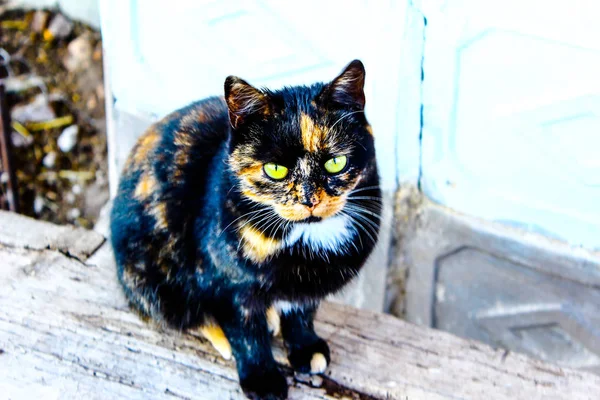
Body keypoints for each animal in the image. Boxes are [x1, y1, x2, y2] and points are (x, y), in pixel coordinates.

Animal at [110, 60, 382, 400]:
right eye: (275, 169)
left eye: (335, 163)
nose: (309, 200)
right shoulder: (223, 282)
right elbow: (246, 333)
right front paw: (262, 379)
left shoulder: (306, 291)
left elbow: (302, 311)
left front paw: (305, 348)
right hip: (149, 277)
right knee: (173, 312)